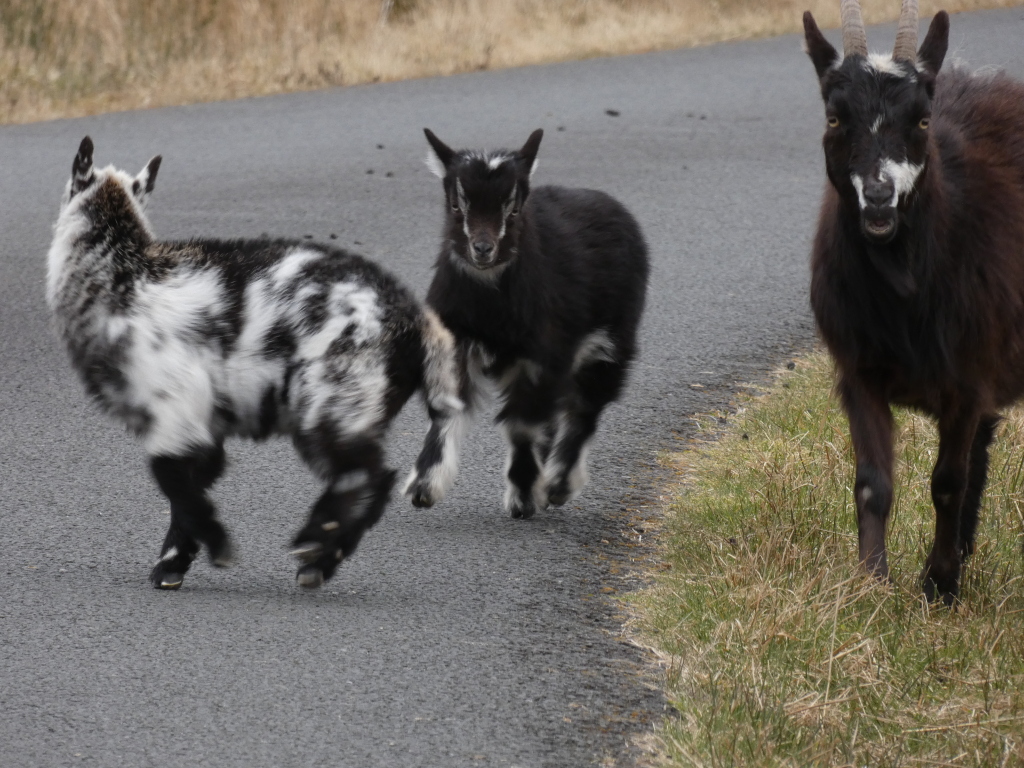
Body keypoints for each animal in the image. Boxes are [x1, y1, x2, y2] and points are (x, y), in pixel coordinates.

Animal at [47, 137, 462, 590]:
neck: (123, 275)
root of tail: (415, 321)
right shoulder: (203, 425)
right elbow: (190, 485)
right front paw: (173, 565)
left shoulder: (173, 406)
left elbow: (170, 477)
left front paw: (213, 548)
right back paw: (321, 556)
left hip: (338, 396)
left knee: (368, 475)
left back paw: (316, 548)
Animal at [402, 129, 649, 519]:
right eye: (457, 205)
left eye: (513, 206)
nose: (482, 249)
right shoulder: (454, 342)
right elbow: (446, 408)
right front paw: (425, 486)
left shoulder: (542, 355)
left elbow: (522, 425)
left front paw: (524, 496)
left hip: (611, 341)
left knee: (584, 410)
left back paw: (559, 484)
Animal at [804, 1, 1024, 602]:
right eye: (834, 118)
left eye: (923, 121)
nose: (879, 199)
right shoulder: (860, 372)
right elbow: (873, 484)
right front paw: (871, 584)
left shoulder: (967, 381)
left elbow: (947, 481)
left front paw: (938, 586)